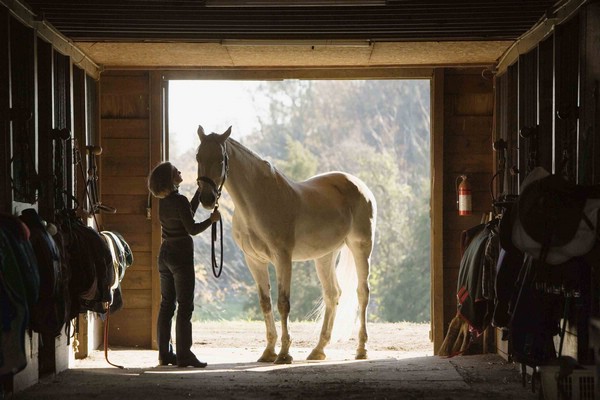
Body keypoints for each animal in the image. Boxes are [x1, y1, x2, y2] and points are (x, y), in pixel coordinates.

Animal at [196, 126, 376, 364]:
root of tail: (360, 186)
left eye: (220, 160)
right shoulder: (254, 261)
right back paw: (318, 350)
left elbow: (283, 303)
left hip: (360, 247)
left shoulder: (283, 258)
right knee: (332, 294)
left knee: (362, 293)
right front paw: (268, 351)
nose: (207, 199)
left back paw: (361, 349)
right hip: (325, 255)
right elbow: (265, 302)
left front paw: (284, 354)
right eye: (198, 157)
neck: (258, 201)